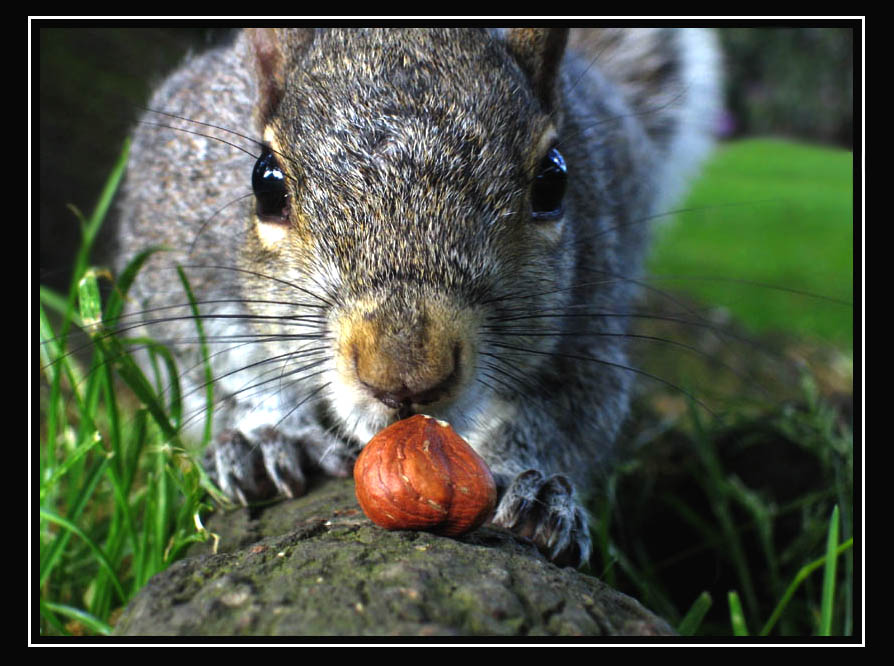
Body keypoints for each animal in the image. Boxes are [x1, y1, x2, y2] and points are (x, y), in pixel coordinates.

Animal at [115, 27, 724, 564]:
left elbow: (571, 413)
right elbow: (214, 366)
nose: (403, 375)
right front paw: (267, 436)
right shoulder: (180, 268)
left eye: (553, 183)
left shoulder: (588, 322)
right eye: (266, 183)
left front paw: (532, 486)